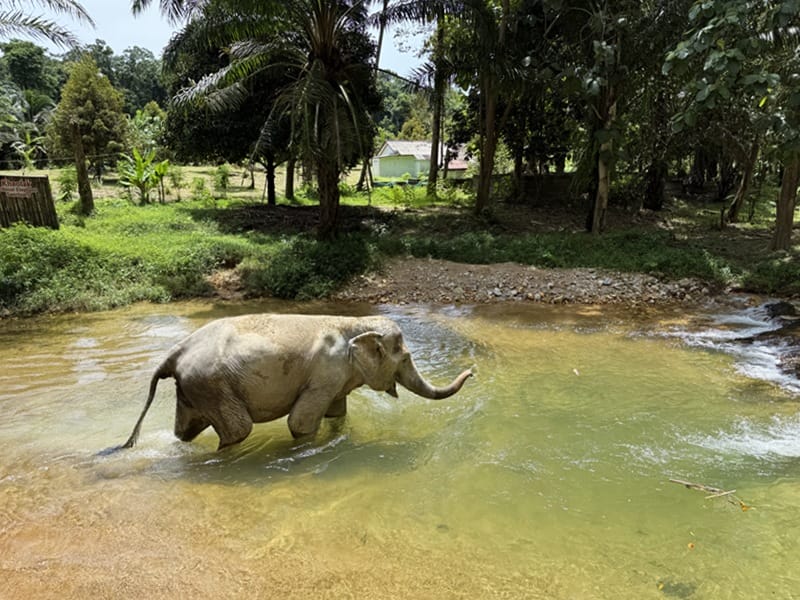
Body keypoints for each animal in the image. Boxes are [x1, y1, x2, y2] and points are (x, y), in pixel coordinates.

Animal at [114, 313, 472, 451]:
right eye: (406, 358)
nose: (473, 371)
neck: (353, 322)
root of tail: (174, 352)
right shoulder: (326, 373)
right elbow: (300, 423)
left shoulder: (334, 378)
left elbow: (337, 413)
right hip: (213, 386)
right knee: (237, 431)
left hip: (195, 388)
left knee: (186, 429)